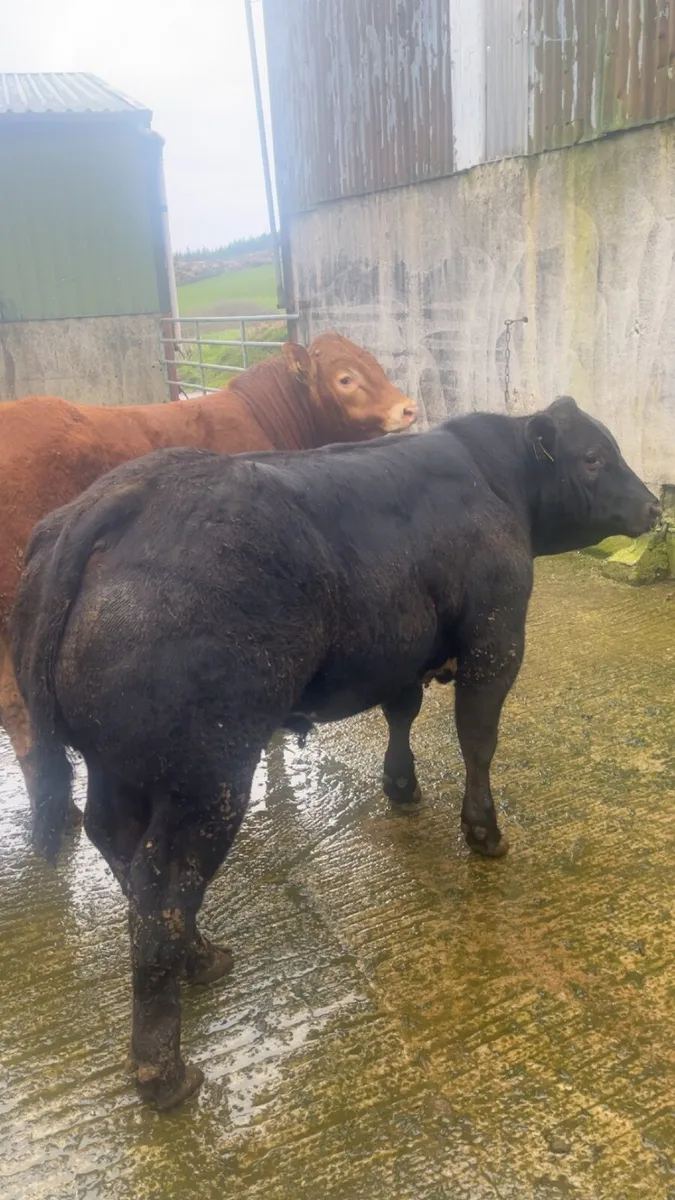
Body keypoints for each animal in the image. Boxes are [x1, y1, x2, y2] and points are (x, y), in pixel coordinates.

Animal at [10, 396, 660, 1110]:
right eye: (593, 458)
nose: (655, 506)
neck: (494, 478)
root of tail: (117, 495)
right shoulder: (494, 640)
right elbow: (478, 740)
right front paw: (485, 833)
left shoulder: (402, 649)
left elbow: (402, 711)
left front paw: (401, 787)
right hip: (207, 779)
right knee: (161, 891)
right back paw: (165, 1071)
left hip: (120, 769)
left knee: (121, 852)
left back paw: (200, 958)